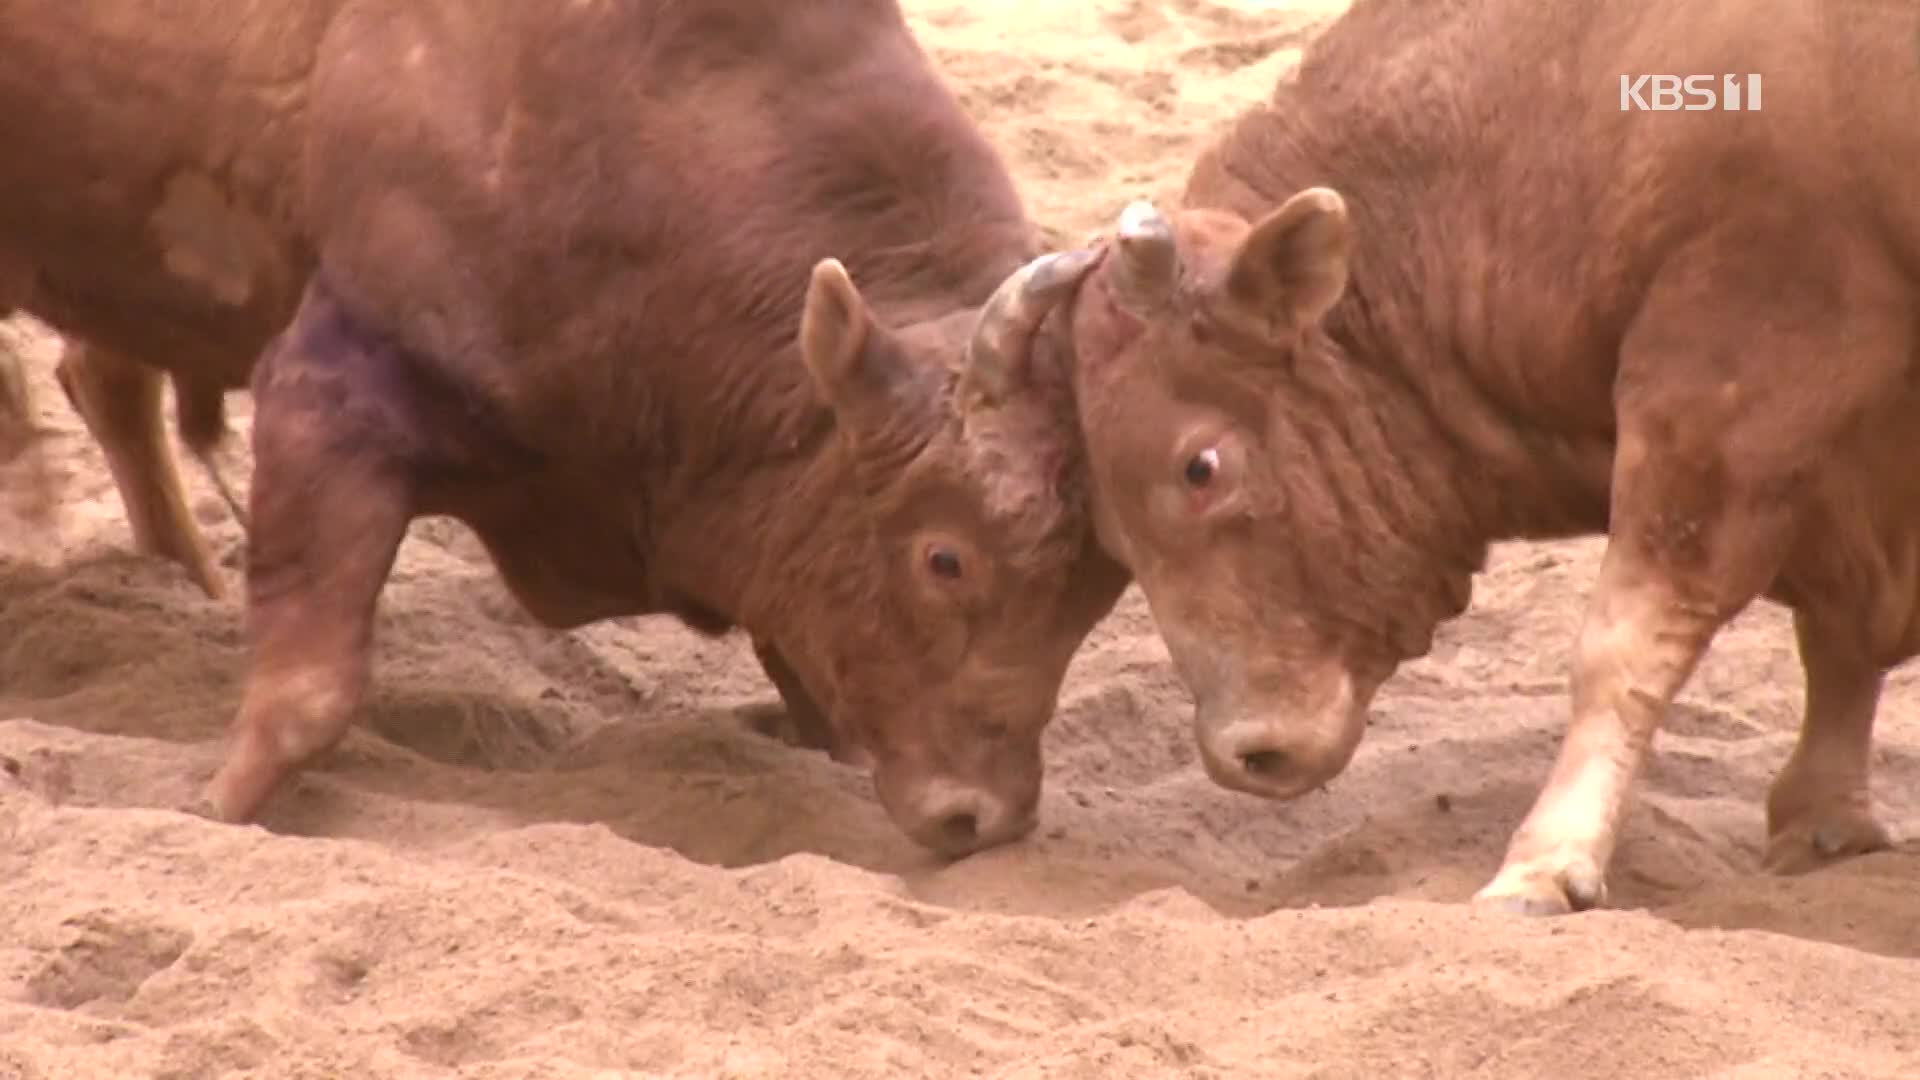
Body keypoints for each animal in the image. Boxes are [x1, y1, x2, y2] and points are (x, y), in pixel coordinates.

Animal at [7, 2, 1128, 857]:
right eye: (946, 558)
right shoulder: (335, 389)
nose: (985, 818)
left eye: (1095, 592)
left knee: (103, 378)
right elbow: (308, 693)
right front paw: (213, 807)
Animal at [1067, 0, 1920, 907]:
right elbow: (1834, 641)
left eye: (1200, 467)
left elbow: (1623, 642)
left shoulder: (1732, 374)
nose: (1246, 753)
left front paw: (1545, 861)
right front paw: (1826, 824)